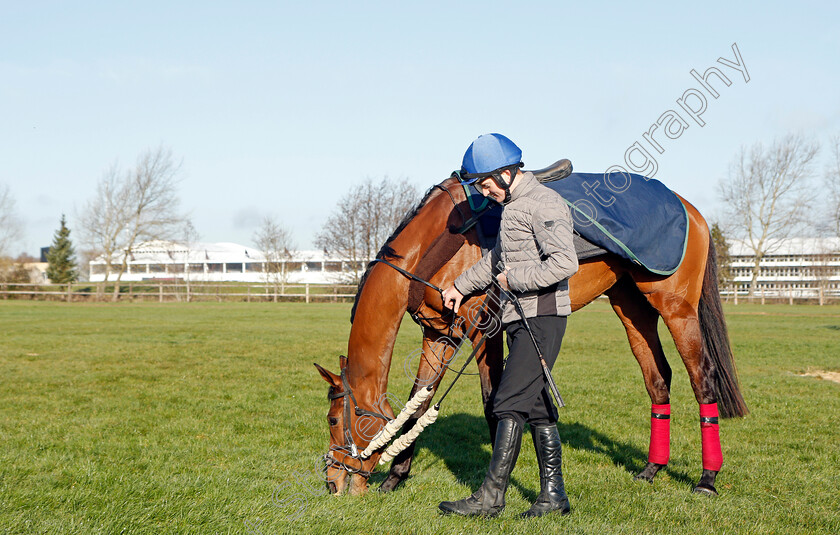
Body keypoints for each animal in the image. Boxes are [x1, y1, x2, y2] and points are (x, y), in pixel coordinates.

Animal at [316, 175, 748, 498]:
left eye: (334, 419)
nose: (333, 480)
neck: (435, 243)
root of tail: (688, 208)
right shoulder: (438, 337)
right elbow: (418, 402)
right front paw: (396, 476)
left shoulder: (483, 335)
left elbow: (493, 402)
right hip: (633, 308)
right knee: (658, 380)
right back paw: (652, 469)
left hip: (676, 308)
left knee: (702, 378)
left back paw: (707, 479)